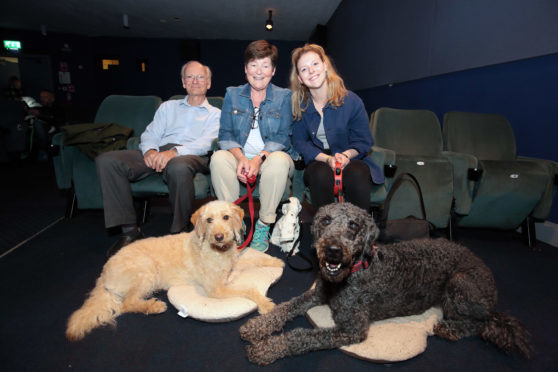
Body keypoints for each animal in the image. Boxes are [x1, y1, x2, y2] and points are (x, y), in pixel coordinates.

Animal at [66, 201, 284, 340]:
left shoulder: (233, 264)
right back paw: (152, 306)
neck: (216, 249)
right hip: (146, 270)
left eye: (226, 217)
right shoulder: (216, 290)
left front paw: (275, 261)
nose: (219, 237)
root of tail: (103, 275)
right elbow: (249, 289)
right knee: (127, 304)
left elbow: (256, 258)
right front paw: (265, 303)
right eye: (209, 220)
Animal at [242, 202, 532, 364]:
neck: (351, 274)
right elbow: (285, 307)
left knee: (482, 323)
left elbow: (302, 336)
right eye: (325, 220)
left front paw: (268, 348)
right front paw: (258, 326)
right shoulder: (315, 296)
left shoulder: (352, 330)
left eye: (354, 225)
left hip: (460, 283)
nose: (333, 251)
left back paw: (451, 328)